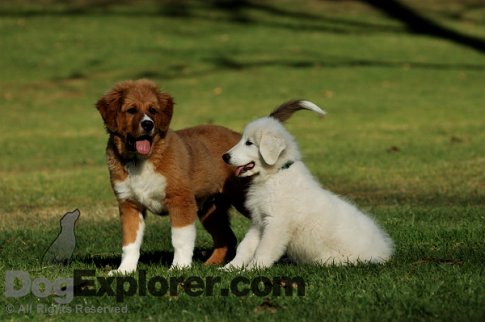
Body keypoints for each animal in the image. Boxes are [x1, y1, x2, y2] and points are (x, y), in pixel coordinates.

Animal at [95, 79, 248, 272]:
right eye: (131, 110)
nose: (148, 124)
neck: (140, 160)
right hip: (210, 209)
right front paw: (125, 270)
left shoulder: (180, 200)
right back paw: (210, 264)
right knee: (226, 238)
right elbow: (130, 242)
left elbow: (180, 239)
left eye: (153, 110)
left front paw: (179, 268)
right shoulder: (129, 204)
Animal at [221, 101, 392, 270]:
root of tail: (384, 252)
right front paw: (230, 268)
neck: (275, 174)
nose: (225, 156)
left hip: (334, 259)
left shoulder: (276, 223)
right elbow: (246, 246)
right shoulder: (259, 221)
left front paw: (253, 269)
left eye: (249, 143)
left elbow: (264, 249)